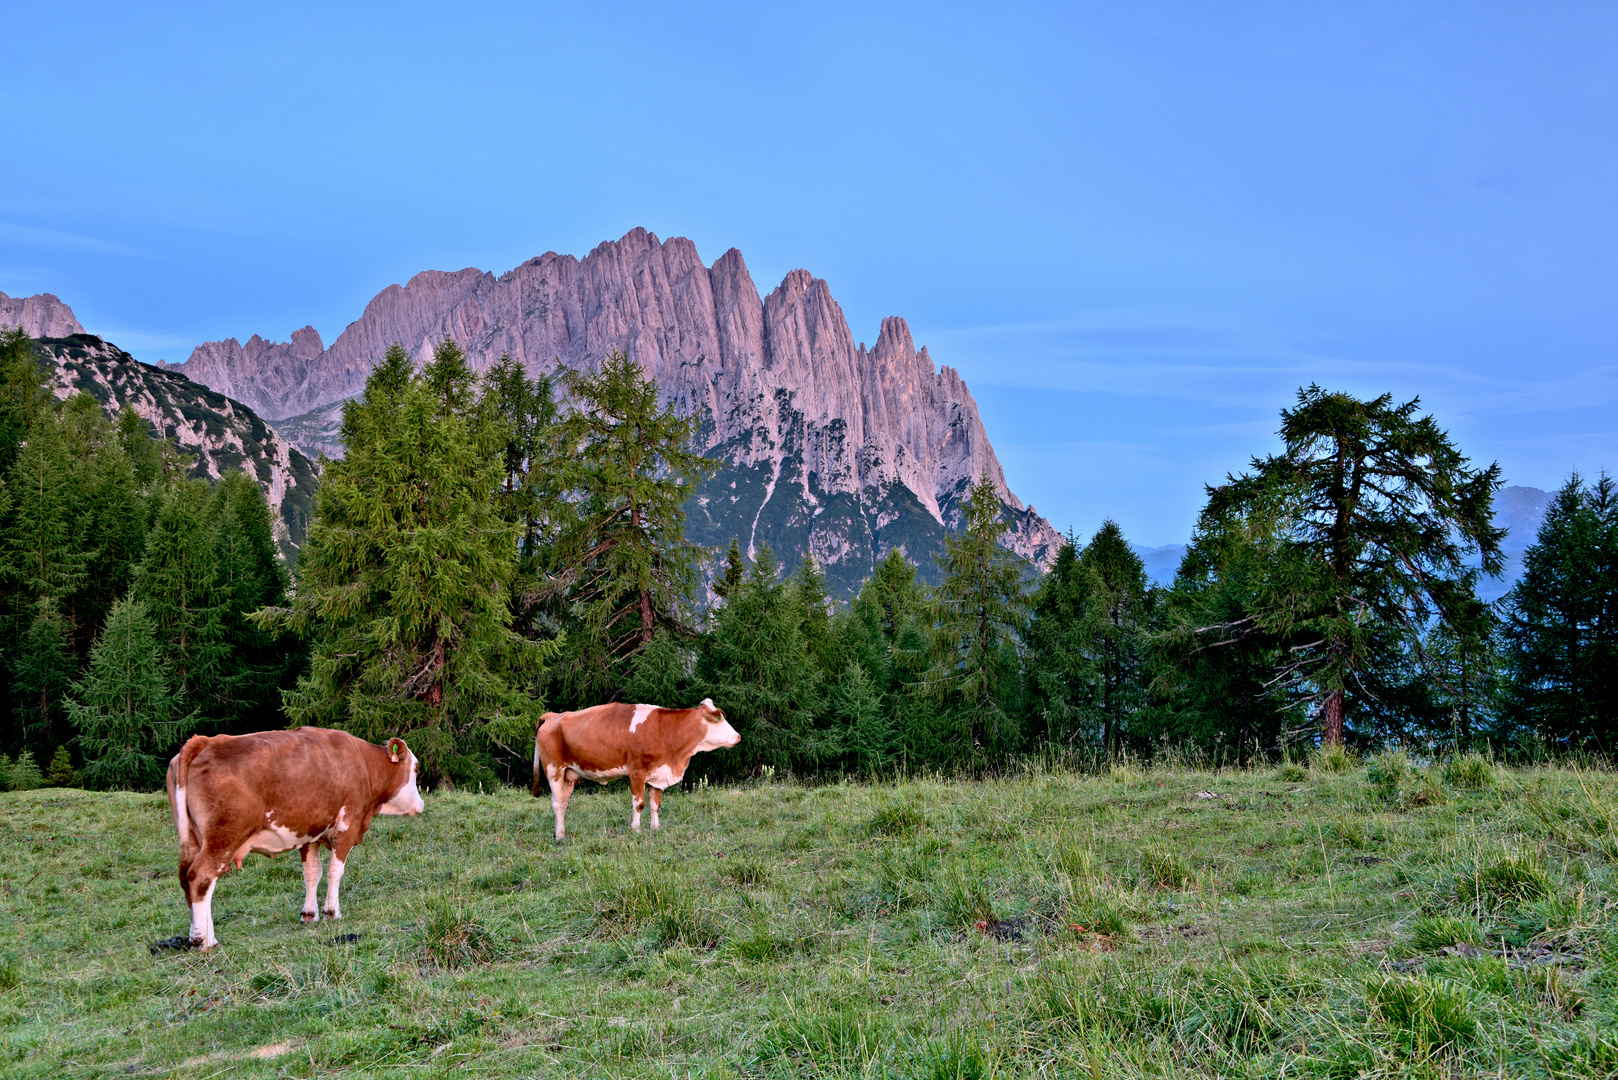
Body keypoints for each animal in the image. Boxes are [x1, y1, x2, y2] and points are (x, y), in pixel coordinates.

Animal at [165, 731, 423, 952]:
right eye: (416, 768)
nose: (421, 805)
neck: (362, 762)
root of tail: (204, 741)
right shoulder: (347, 828)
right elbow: (334, 870)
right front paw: (332, 912)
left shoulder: (309, 833)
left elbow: (312, 873)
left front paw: (309, 914)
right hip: (223, 837)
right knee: (201, 877)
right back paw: (204, 940)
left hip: (193, 840)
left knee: (188, 879)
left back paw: (200, 934)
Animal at [533, 696, 741, 841]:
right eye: (719, 720)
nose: (738, 736)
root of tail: (555, 716)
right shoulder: (636, 772)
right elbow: (639, 804)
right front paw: (636, 829)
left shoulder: (657, 773)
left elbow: (655, 804)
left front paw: (655, 828)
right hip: (554, 771)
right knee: (557, 804)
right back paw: (559, 837)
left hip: (569, 776)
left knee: (563, 803)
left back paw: (562, 832)